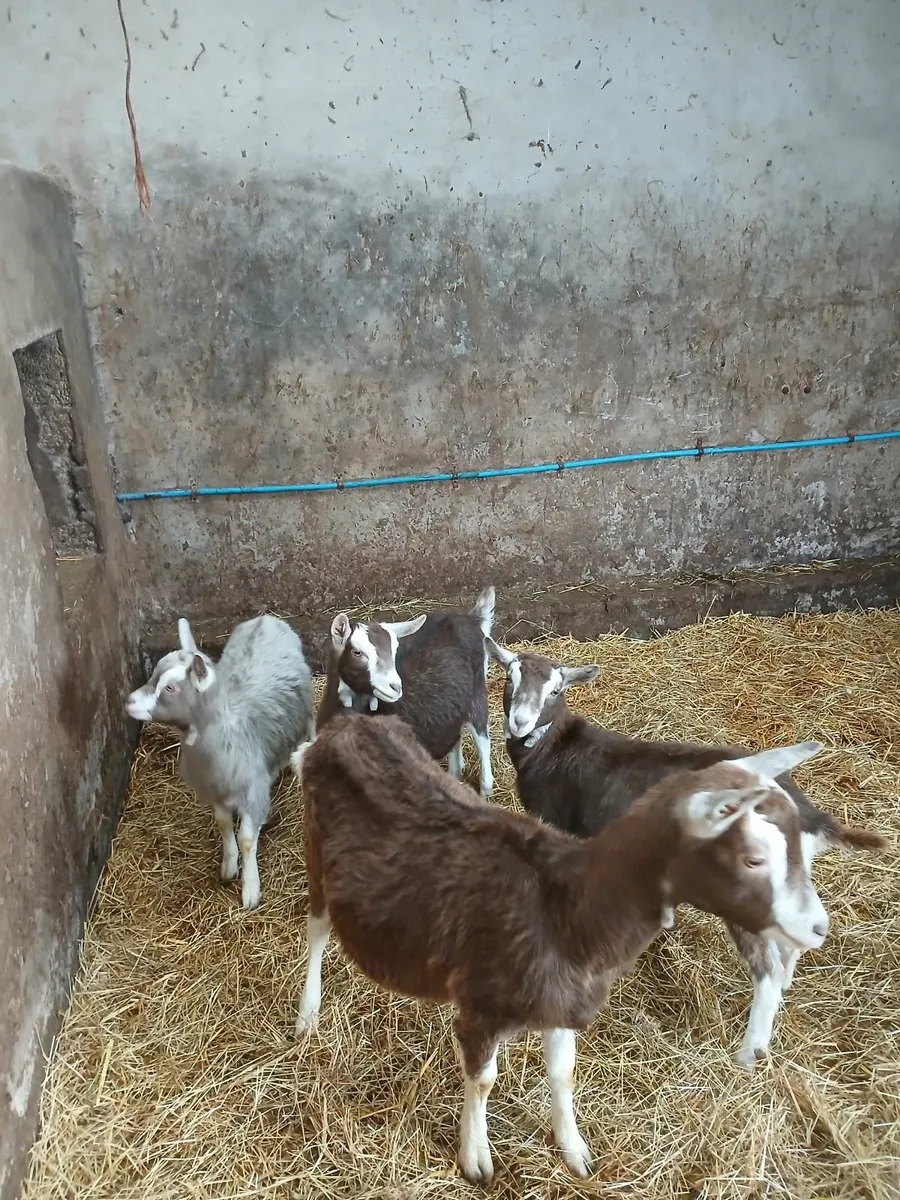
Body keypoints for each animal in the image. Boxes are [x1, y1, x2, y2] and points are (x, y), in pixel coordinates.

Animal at [125, 615, 315, 909]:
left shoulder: (252, 791)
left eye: (170, 688)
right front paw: (229, 865)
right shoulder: (212, 789)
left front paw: (250, 889)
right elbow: (224, 824)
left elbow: (247, 839)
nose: (129, 701)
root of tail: (265, 618)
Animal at [290, 714, 829, 1183]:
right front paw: (476, 1159)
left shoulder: (561, 1002)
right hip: (317, 855)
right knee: (316, 929)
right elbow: (483, 1080)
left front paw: (575, 1150)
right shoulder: (481, 1007)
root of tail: (343, 728)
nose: (820, 927)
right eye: (753, 858)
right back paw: (307, 1014)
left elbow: (563, 1073)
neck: (568, 912)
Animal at [316, 585, 496, 795]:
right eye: (357, 652)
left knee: (482, 739)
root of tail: (471, 619)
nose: (395, 687)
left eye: (395, 651)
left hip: (477, 692)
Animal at [485, 638, 887, 1065]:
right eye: (509, 677)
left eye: (555, 690)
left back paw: (749, 1051)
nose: (520, 722)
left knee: (766, 969)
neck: (554, 750)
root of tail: (808, 814)